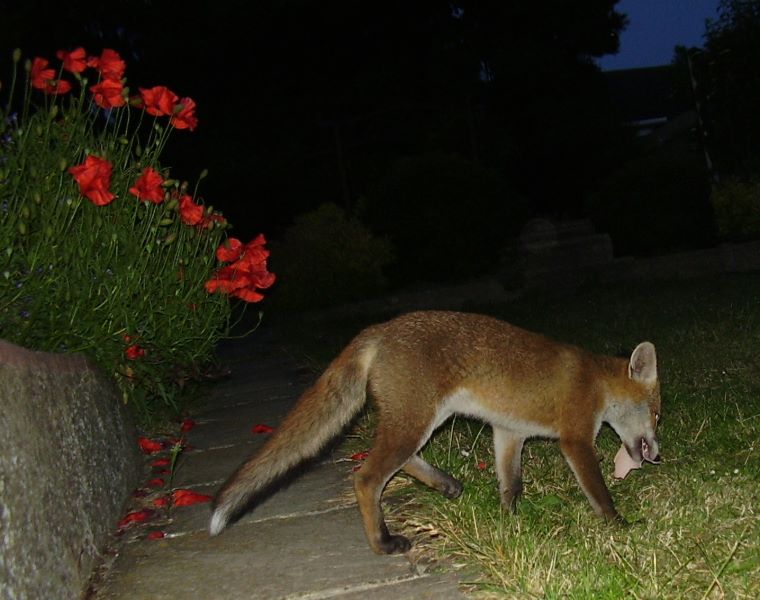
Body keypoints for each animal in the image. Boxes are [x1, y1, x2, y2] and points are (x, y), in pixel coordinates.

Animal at [211, 312, 664, 556]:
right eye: (658, 415)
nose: (658, 456)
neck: (595, 382)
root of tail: (380, 328)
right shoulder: (575, 439)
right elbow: (599, 493)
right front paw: (620, 524)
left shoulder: (508, 432)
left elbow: (511, 484)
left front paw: (510, 520)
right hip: (417, 421)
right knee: (366, 477)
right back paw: (383, 543)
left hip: (421, 419)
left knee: (395, 460)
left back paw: (445, 484)